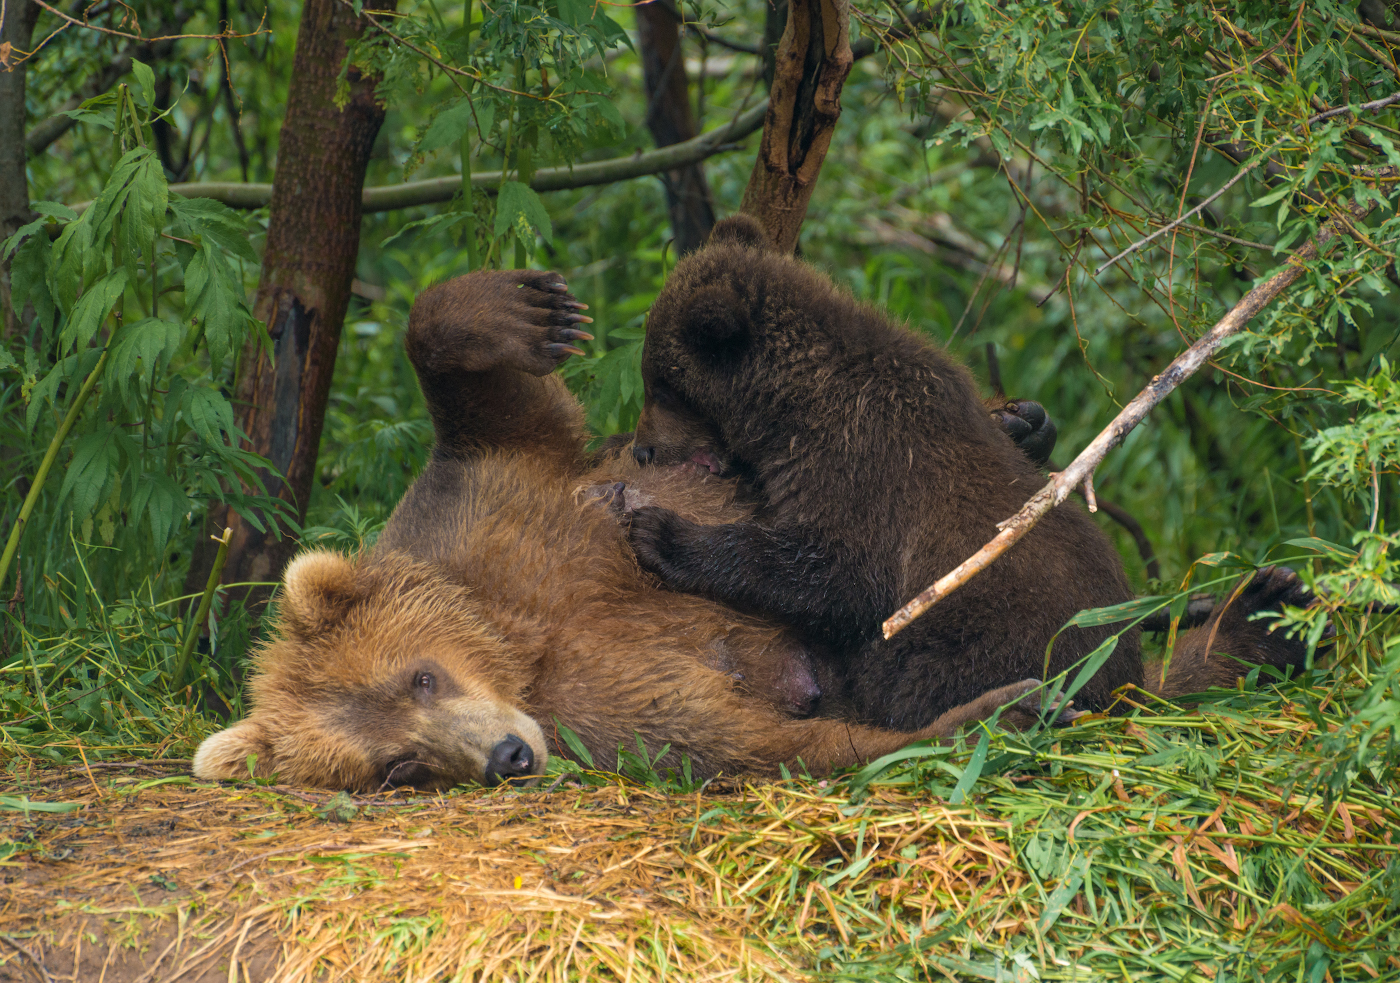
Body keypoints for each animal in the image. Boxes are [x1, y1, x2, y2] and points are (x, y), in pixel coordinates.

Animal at [191, 268, 1052, 795]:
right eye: (399, 765)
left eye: (420, 675)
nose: (507, 755)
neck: (518, 637)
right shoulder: (602, 711)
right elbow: (751, 740)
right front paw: (993, 710)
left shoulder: (495, 499)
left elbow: (485, 394)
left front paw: (531, 309)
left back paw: (1023, 424)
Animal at [624, 215, 1299, 733]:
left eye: (661, 383)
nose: (643, 450)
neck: (789, 411)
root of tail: (1121, 688)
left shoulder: (863, 468)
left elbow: (832, 573)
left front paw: (662, 533)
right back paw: (1271, 606)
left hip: (979, 644)